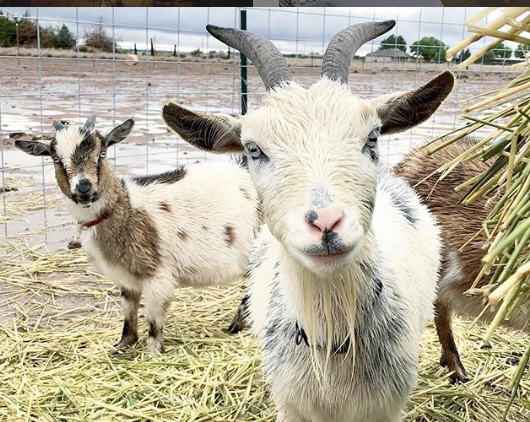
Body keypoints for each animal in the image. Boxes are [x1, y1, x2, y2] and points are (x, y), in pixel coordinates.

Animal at [13, 118, 258, 352]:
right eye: (56, 158)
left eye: (102, 153)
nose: (84, 187)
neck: (127, 210)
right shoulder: (126, 279)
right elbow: (128, 313)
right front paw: (123, 345)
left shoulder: (158, 277)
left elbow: (154, 321)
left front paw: (153, 354)